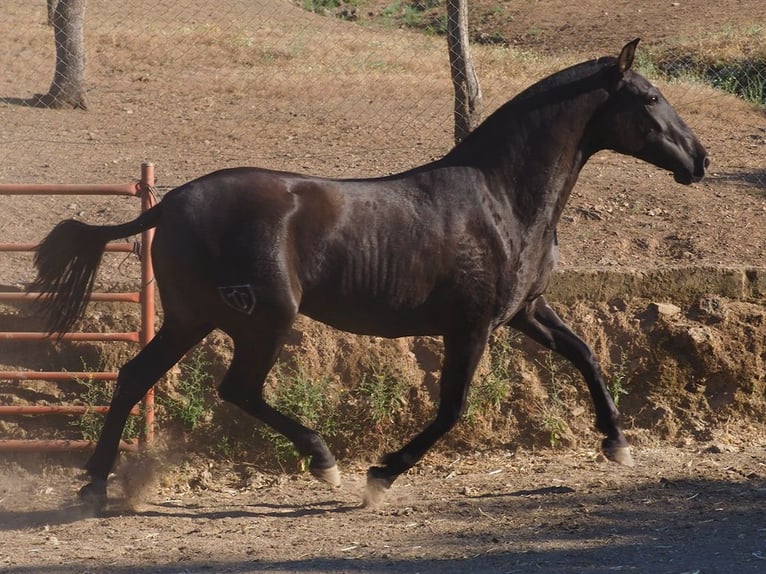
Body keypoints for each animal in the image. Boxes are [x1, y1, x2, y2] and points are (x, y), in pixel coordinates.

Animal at [33, 41, 712, 508]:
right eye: (649, 98)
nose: (701, 160)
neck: (502, 199)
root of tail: (166, 204)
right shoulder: (471, 326)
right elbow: (451, 407)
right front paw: (380, 476)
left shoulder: (525, 311)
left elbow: (586, 356)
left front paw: (617, 443)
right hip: (263, 319)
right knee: (237, 389)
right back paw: (324, 461)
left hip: (191, 319)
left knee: (135, 377)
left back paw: (95, 485)